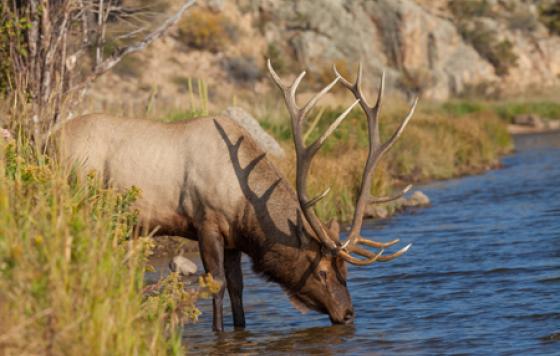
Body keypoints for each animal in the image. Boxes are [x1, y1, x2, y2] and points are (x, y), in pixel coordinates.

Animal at [59, 59, 418, 330]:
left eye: (346, 271)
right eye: (322, 271)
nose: (347, 314)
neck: (245, 207)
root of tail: (49, 139)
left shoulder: (233, 239)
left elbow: (237, 289)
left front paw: (241, 329)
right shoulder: (206, 222)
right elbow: (215, 283)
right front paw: (218, 332)